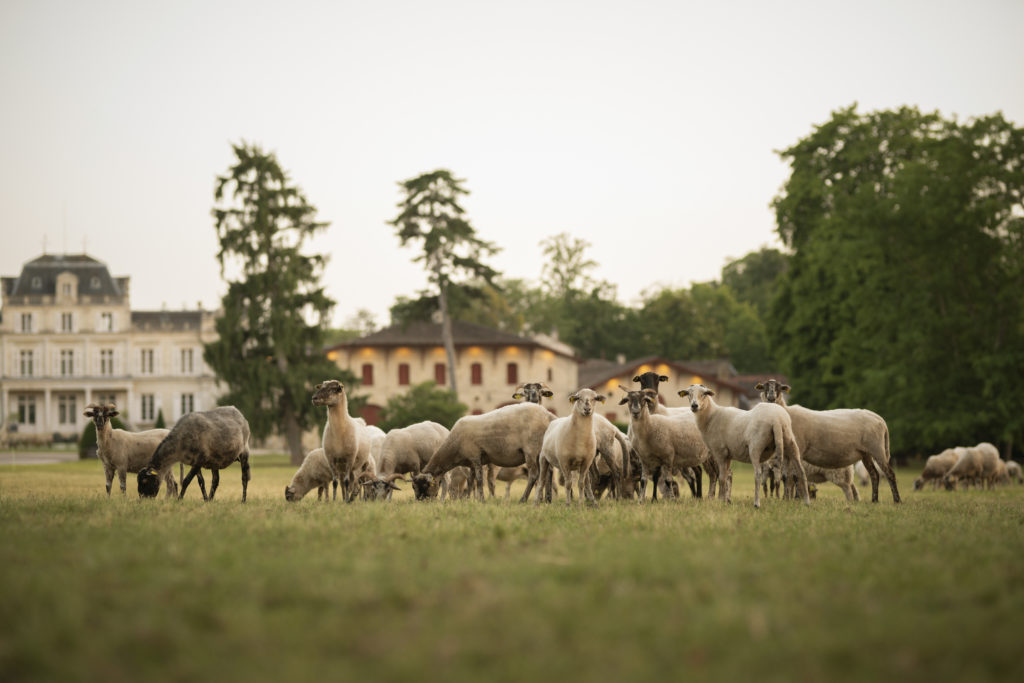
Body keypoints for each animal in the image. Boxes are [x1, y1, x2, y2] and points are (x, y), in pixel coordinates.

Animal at [409, 401, 557, 501]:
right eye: (413, 487)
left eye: (425, 486)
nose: (421, 502)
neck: (454, 447)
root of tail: (548, 415)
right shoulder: (470, 462)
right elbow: (470, 481)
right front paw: (467, 500)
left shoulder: (475, 456)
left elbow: (479, 480)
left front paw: (481, 500)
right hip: (540, 451)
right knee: (548, 472)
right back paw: (547, 499)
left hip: (531, 450)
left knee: (534, 475)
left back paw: (523, 499)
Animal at [675, 385, 811, 507]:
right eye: (688, 394)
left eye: (704, 393)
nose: (694, 406)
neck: (711, 417)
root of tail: (776, 419)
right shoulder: (728, 455)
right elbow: (726, 476)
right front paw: (725, 500)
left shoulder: (720, 452)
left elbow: (722, 478)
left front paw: (720, 501)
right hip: (790, 440)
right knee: (801, 471)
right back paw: (807, 502)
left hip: (756, 447)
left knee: (757, 474)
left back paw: (757, 503)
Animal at [757, 376, 901, 505]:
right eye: (764, 387)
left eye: (779, 388)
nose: (771, 398)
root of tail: (880, 419)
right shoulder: (787, 454)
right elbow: (786, 477)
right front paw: (786, 499)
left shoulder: (798, 450)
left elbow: (794, 477)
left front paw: (794, 499)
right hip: (866, 453)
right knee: (874, 474)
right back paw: (874, 500)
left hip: (877, 448)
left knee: (889, 474)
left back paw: (897, 500)